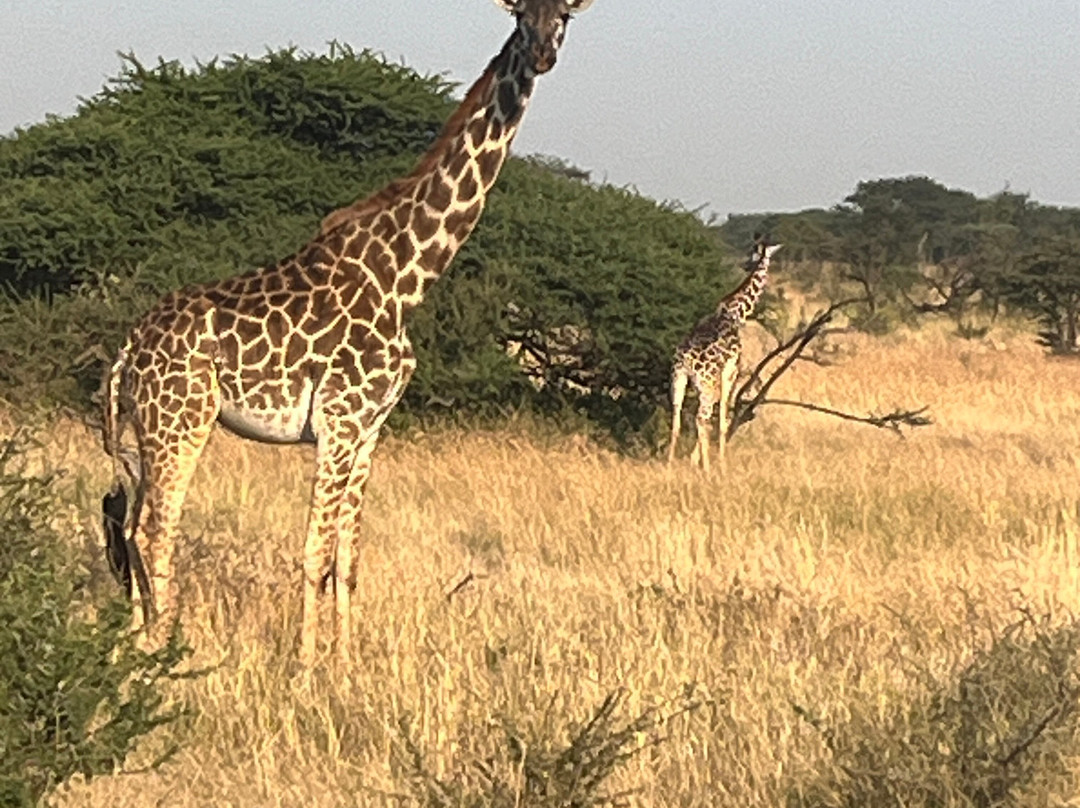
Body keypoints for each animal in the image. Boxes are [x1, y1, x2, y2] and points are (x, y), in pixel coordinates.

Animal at [100, 0, 597, 665]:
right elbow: (313, 550)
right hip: (180, 422)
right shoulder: (338, 420)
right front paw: (307, 666)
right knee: (155, 527)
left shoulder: (369, 428)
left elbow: (347, 557)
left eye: (565, 14)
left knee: (129, 525)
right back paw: (167, 645)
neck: (408, 276)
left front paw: (345, 662)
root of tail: (128, 347)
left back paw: (134, 641)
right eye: (519, 15)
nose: (543, 54)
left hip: (142, 430)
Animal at [666, 237, 781, 473]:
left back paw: (669, 465)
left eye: (750, 255)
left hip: (678, 379)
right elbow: (723, 419)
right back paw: (709, 469)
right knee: (701, 418)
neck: (734, 312)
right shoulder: (730, 371)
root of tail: (685, 358)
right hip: (705, 383)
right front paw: (720, 463)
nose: (746, 265)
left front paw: (693, 460)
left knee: (677, 416)